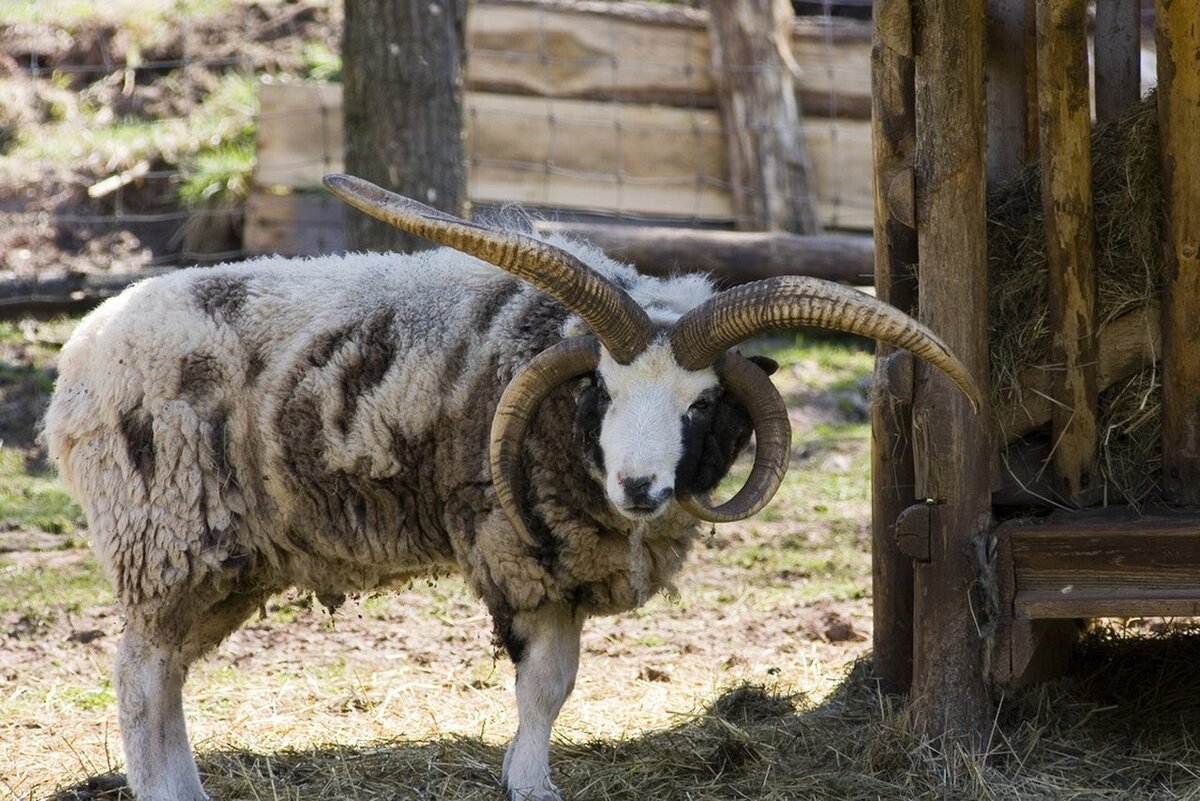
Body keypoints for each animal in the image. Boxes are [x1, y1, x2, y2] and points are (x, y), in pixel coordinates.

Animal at [46, 175, 984, 801]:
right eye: (600, 387)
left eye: (702, 402)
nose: (641, 486)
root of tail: (76, 360)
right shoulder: (522, 553)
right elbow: (541, 686)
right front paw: (531, 783)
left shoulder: (566, 565)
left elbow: (560, 685)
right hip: (164, 536)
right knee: (139, 674)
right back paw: (163, 789)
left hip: (223, 557)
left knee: (167, 671)